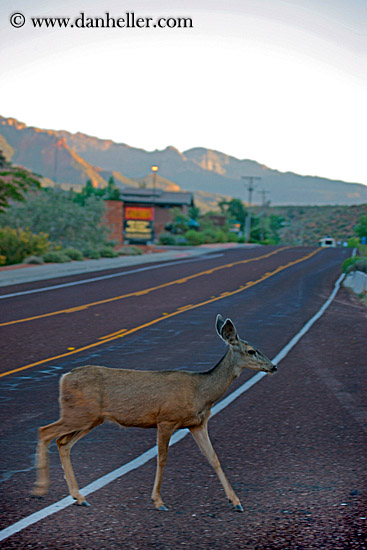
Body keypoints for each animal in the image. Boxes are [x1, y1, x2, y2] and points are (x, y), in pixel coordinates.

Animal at [33, 316, 276, 516]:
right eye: (251, 350)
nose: (273, 366)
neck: (201, 392)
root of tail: (65, 377)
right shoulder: (166, 419)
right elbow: (162, 458)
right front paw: (158, 501)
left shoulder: (197, 424)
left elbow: (213, 458)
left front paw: (236, 501)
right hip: (80, 414)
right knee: (45, 431)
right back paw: (40, 489)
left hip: (91, 419)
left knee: (62, 443)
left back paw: (79, 497)